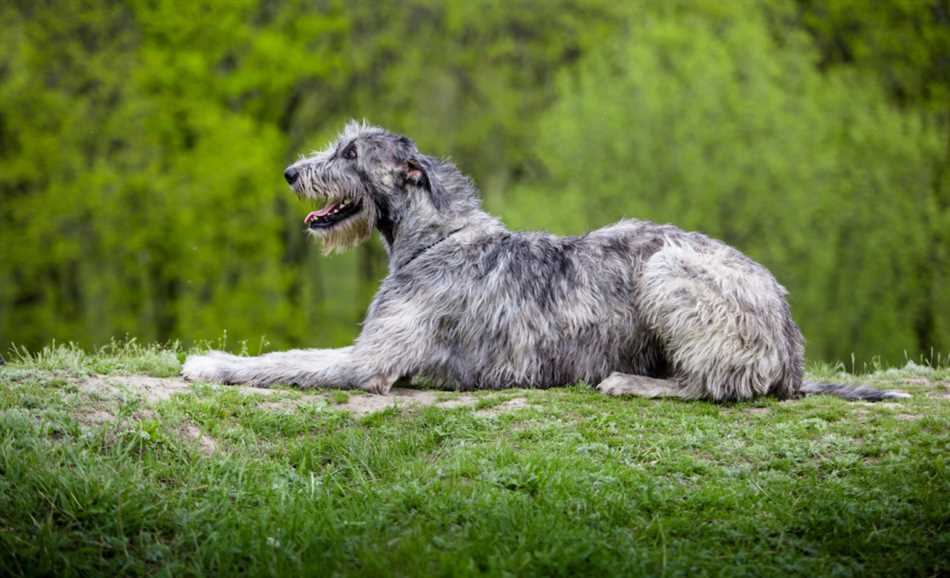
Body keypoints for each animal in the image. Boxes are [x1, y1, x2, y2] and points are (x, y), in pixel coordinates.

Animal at [184, 121, 908, 400]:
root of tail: (791, 344)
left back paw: (633, 383)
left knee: (718, 383)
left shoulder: (371, 363)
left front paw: (208, 362)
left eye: (352, 153)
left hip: (668, 270)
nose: (290, 173)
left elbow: (283, 363)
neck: (438, 236)